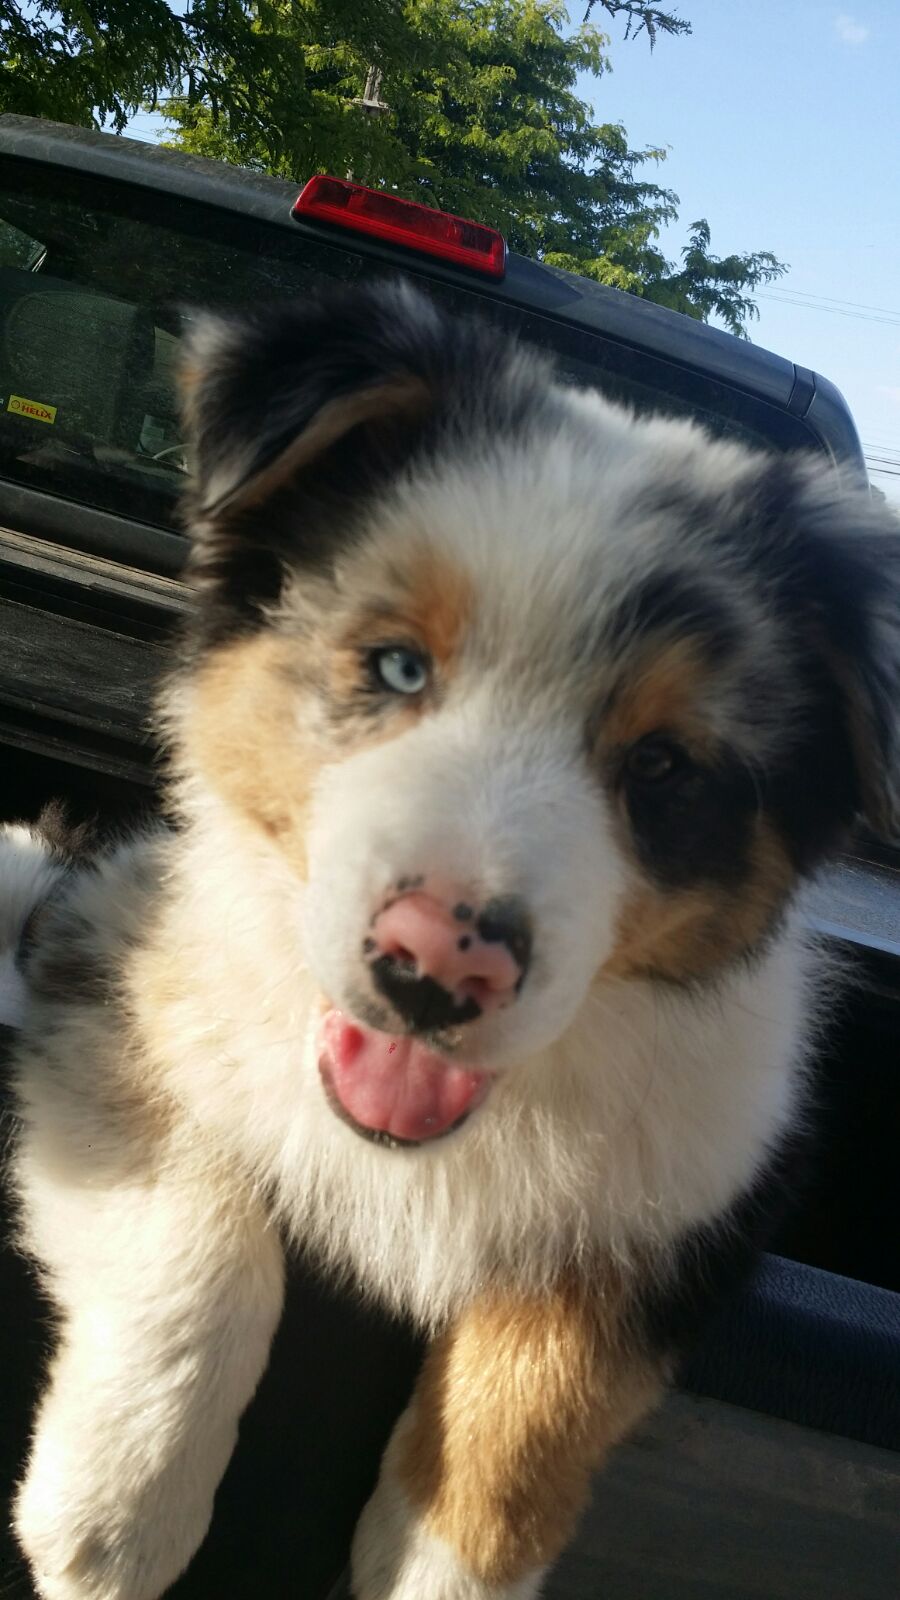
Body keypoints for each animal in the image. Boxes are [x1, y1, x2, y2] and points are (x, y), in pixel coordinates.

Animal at [5, 281, 896, 1593]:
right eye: (396, 664)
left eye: (663, 769)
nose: (436, 966)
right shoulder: (113, 953)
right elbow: (200, 1226)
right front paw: (117, 1512)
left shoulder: (695, 1197)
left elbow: (528, 1408)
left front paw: (440, 1565)